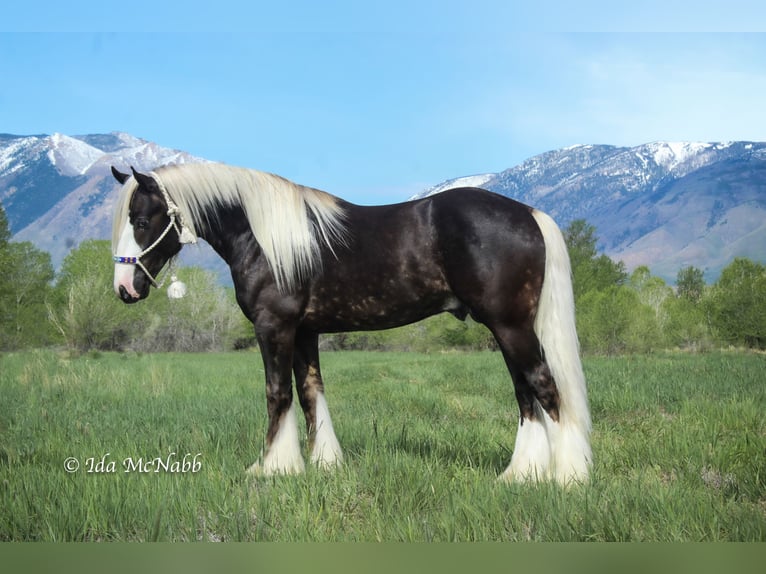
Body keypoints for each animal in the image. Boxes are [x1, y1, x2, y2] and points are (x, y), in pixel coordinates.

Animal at [111, 163, 592, 486]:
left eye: (142, 220)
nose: (124, 288)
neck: (264, 236)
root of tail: (529, 213)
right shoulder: (305, 331)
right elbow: (310, 393)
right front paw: (322, 463)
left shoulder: (274, 327)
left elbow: (277, 394)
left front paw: (271, 468)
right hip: (507, 330)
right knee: (526, 396)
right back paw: (521, 475)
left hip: (511, 327)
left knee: (545, 389)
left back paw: (566, 478)